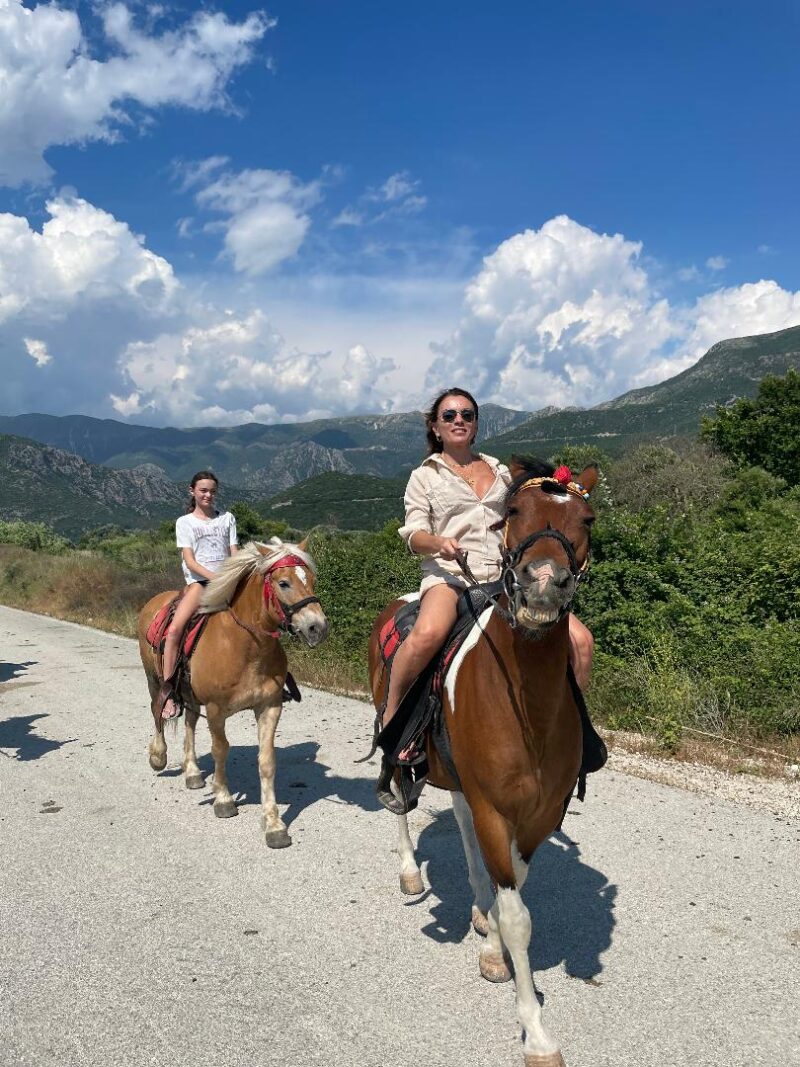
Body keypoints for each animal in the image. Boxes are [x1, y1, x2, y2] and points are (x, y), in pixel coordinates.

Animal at [138, 537, 328, 845]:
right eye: (283, 583)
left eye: (311, 580)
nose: (317, 627)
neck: (246, 647)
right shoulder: (216, 710)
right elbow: (220, 750)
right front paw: (223, 799)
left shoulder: (269, 707)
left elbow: (266, 761)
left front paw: (273, 824)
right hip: (155, 679)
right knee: (158, 711)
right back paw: (158, 756)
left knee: (190, 722)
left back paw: (192, 772)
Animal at [369, 458, 601, 1067]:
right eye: (512, 511)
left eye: (586, 518)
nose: (543, 583)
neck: (525, 704)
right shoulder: (495, 808)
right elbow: (517, 917)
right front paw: (537, 1034)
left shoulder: (537, 816)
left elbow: (511, 884)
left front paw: (492, 939)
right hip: (400, 745)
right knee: (398, 799)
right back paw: (410, 870)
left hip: (457, 780)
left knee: (465, 832)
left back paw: (476, 909)